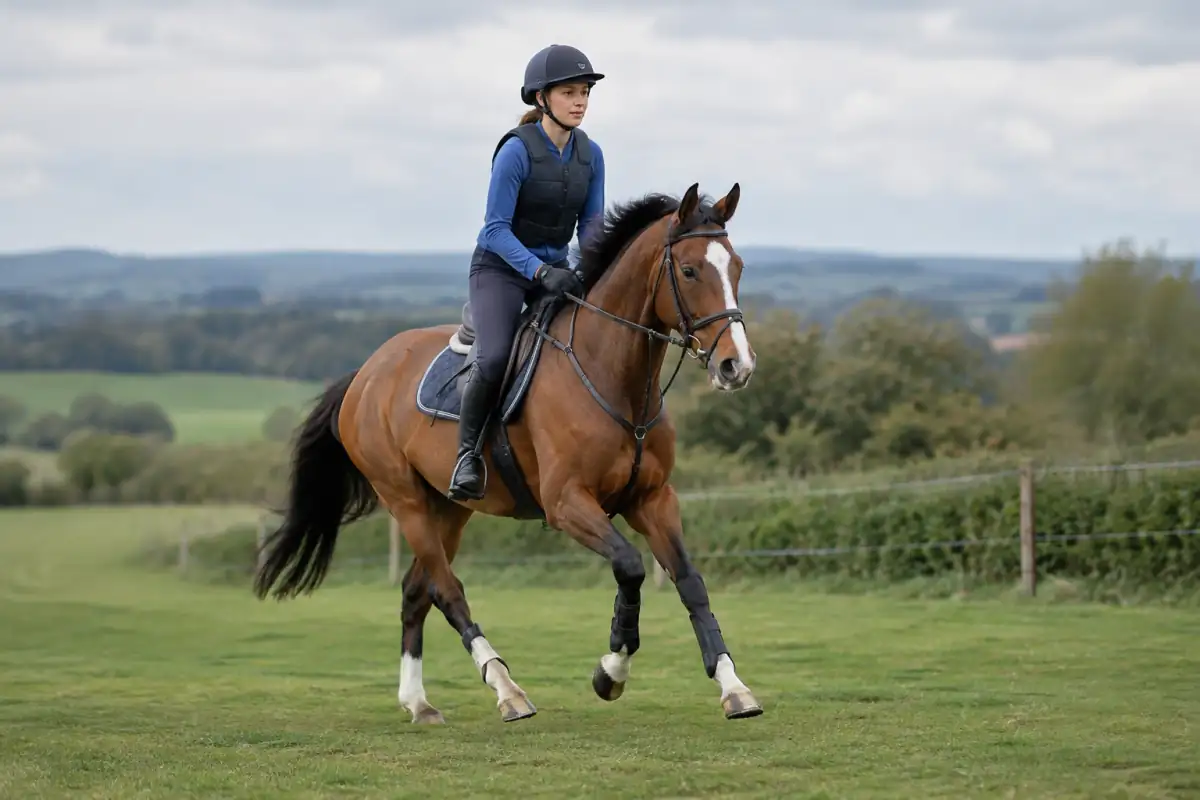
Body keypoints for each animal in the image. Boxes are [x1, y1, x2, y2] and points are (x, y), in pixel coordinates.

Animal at [252, 181, 764, 724]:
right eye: (688, 271)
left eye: (737, 267)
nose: (736, 365)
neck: (612, 376)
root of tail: (366, 374)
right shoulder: (567, 504)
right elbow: (630, 567)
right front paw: (611, 672)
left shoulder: (653, 499)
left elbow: (689, 581)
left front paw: (733, 686)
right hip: (405, 501)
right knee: (447, 590)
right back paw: (506, 689)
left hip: (449, 508)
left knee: (417, 591)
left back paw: (419, 702)